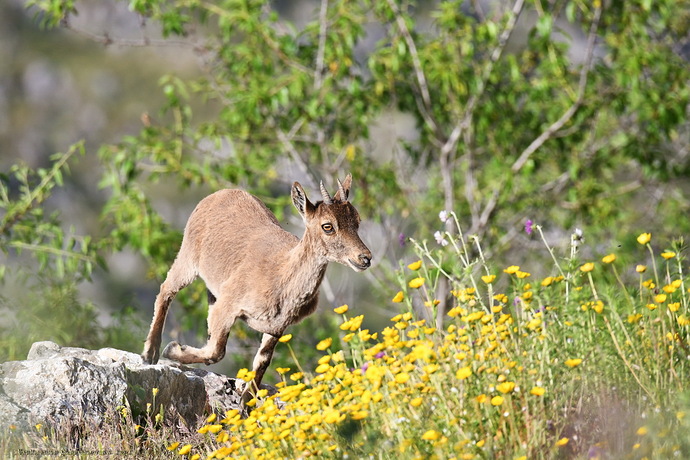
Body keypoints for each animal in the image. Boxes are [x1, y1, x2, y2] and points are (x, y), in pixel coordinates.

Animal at [141, 174, 371, 408]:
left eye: (357, 221)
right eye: (327, 226)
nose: (365, 258)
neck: (281, 279)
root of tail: (219, 194)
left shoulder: (276, 328)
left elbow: (261, 362)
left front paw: (247, 403)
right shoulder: (229, 305)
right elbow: (217, 351)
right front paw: (172, 349)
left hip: (212, 289)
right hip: (188, 257)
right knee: (166, 290)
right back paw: (151, 353)